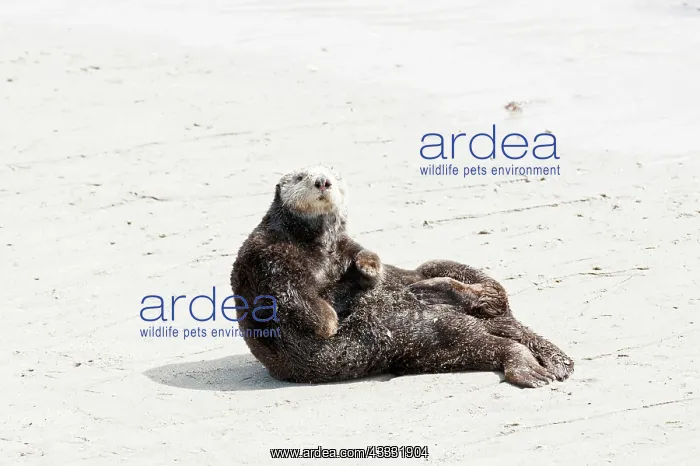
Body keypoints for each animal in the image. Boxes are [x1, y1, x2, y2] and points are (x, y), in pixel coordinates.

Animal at [230, 166, 573, 388]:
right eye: (301, 177)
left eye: (332, 174)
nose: (323, 182)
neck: (318, 246)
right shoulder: (269, 259)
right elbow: (294, 296)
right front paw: (329, 322)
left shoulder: (344, 245)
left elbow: (366, 263)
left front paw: (368, 268)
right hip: (426, 338)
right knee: (493, 342)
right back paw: (534, 369)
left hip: (440, 282)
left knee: (488, 292)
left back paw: (436, 288)